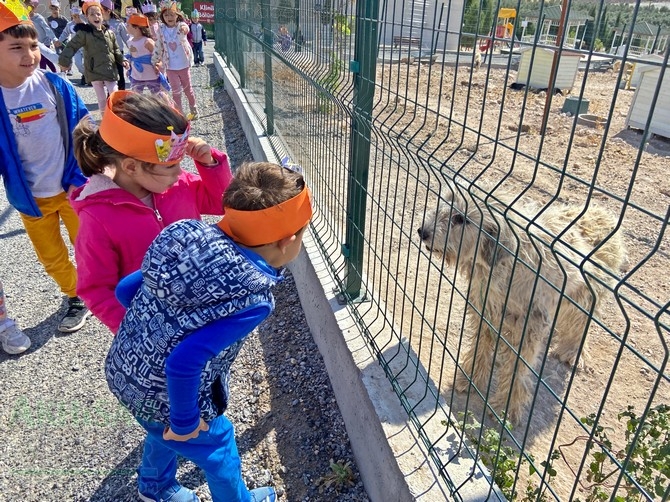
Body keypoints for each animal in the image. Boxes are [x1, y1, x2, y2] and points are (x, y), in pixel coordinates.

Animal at [418, 186, 628, 422]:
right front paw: (471, 378)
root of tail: (603, 212)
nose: (422, 231)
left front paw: (505, 407)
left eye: (460, 218)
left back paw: (573, 352)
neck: (504, 264)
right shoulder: (486, 310)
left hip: (584, 298)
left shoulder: (529, 325)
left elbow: (517, 367)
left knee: (579, 325)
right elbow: (481, 347)